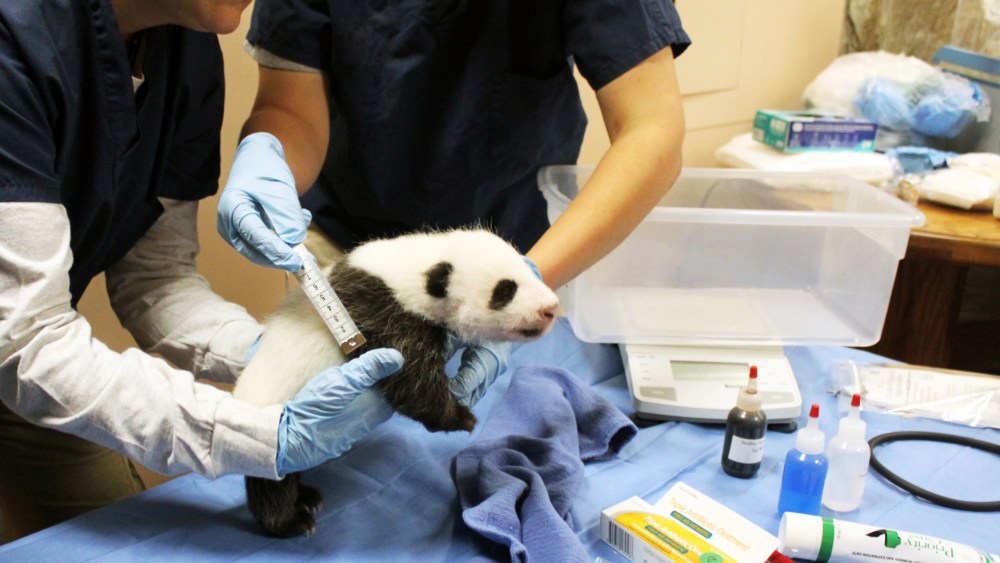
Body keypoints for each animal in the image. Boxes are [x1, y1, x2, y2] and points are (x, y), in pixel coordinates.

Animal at [232, 228, 560, 537]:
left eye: (524, 269)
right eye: (506, 289)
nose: (551, 308)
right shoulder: (380, 313)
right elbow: (411, 380)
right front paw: (459, 416)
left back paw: (308, 497)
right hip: (272, 436)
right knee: (271, 487)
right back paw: (291, 521)